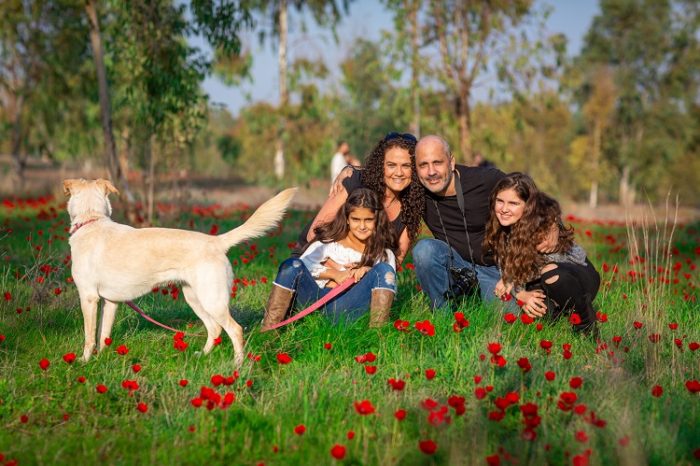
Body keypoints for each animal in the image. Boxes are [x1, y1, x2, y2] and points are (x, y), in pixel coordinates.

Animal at [64, 178, 296, 364]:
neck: (91, 220)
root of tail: (216, 241)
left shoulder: (88, 298)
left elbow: (89, 336)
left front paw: (84, 361)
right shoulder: (111, 301)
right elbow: (103, 335)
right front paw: (101, 358)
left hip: (212, 301)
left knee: (235, 330)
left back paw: (237, 365)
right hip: (194, 298)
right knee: (215, 329)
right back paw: (203, 355)